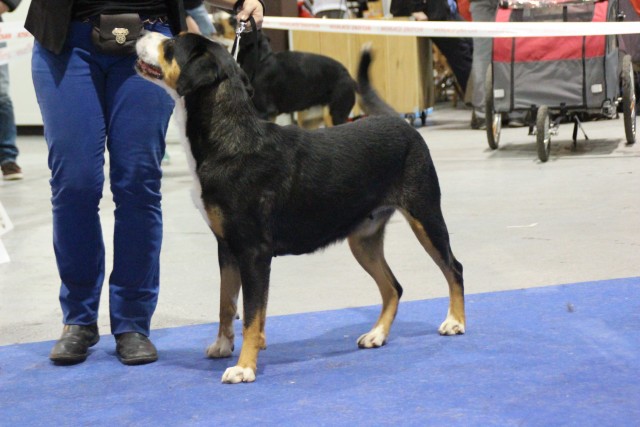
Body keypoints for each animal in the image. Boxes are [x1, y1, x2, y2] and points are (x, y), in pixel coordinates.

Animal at [135, 30, 464, 384]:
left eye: (171, 46)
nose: (141, 32)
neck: (230, 140)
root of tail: (400, 123)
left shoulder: (253, 251)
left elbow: (251, 314)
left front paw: (244, 366)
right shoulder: (227, 247)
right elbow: (227, 303)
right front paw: (223, 345)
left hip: (425, 216)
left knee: (453, 268)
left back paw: (455, 322)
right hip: (363, 240)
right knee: (393, 287)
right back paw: (377, 334)